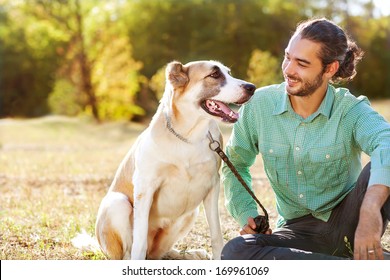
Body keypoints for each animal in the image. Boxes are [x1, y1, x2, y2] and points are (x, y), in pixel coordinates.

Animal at [94, 60, 256, 260]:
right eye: (214, 75)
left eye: (228, 73)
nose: (252, 88)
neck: (188, 136)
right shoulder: (145, 188)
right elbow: (139, 243)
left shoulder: (212, 185)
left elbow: (216, 235)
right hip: (117, 203)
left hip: (190, 213)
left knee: (159, 254)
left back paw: (190, 254)